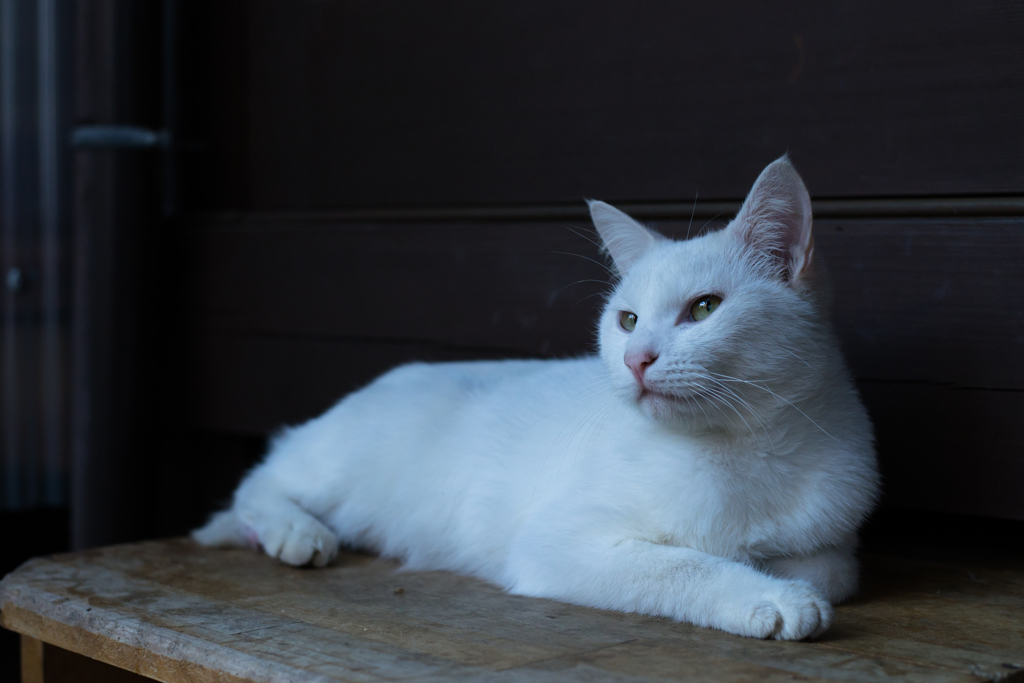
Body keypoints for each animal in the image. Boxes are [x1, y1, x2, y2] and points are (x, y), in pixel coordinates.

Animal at [193, 158, 880, 643]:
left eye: (705, 308)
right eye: (628, 320)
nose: (636, 359)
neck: (739, 451)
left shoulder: (838, 546)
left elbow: (820, 569)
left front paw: (772, 574)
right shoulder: (558, 543)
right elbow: (682, 565)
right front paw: (772, 600)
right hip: (341, 465)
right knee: (262, 476)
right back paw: (292, 532)